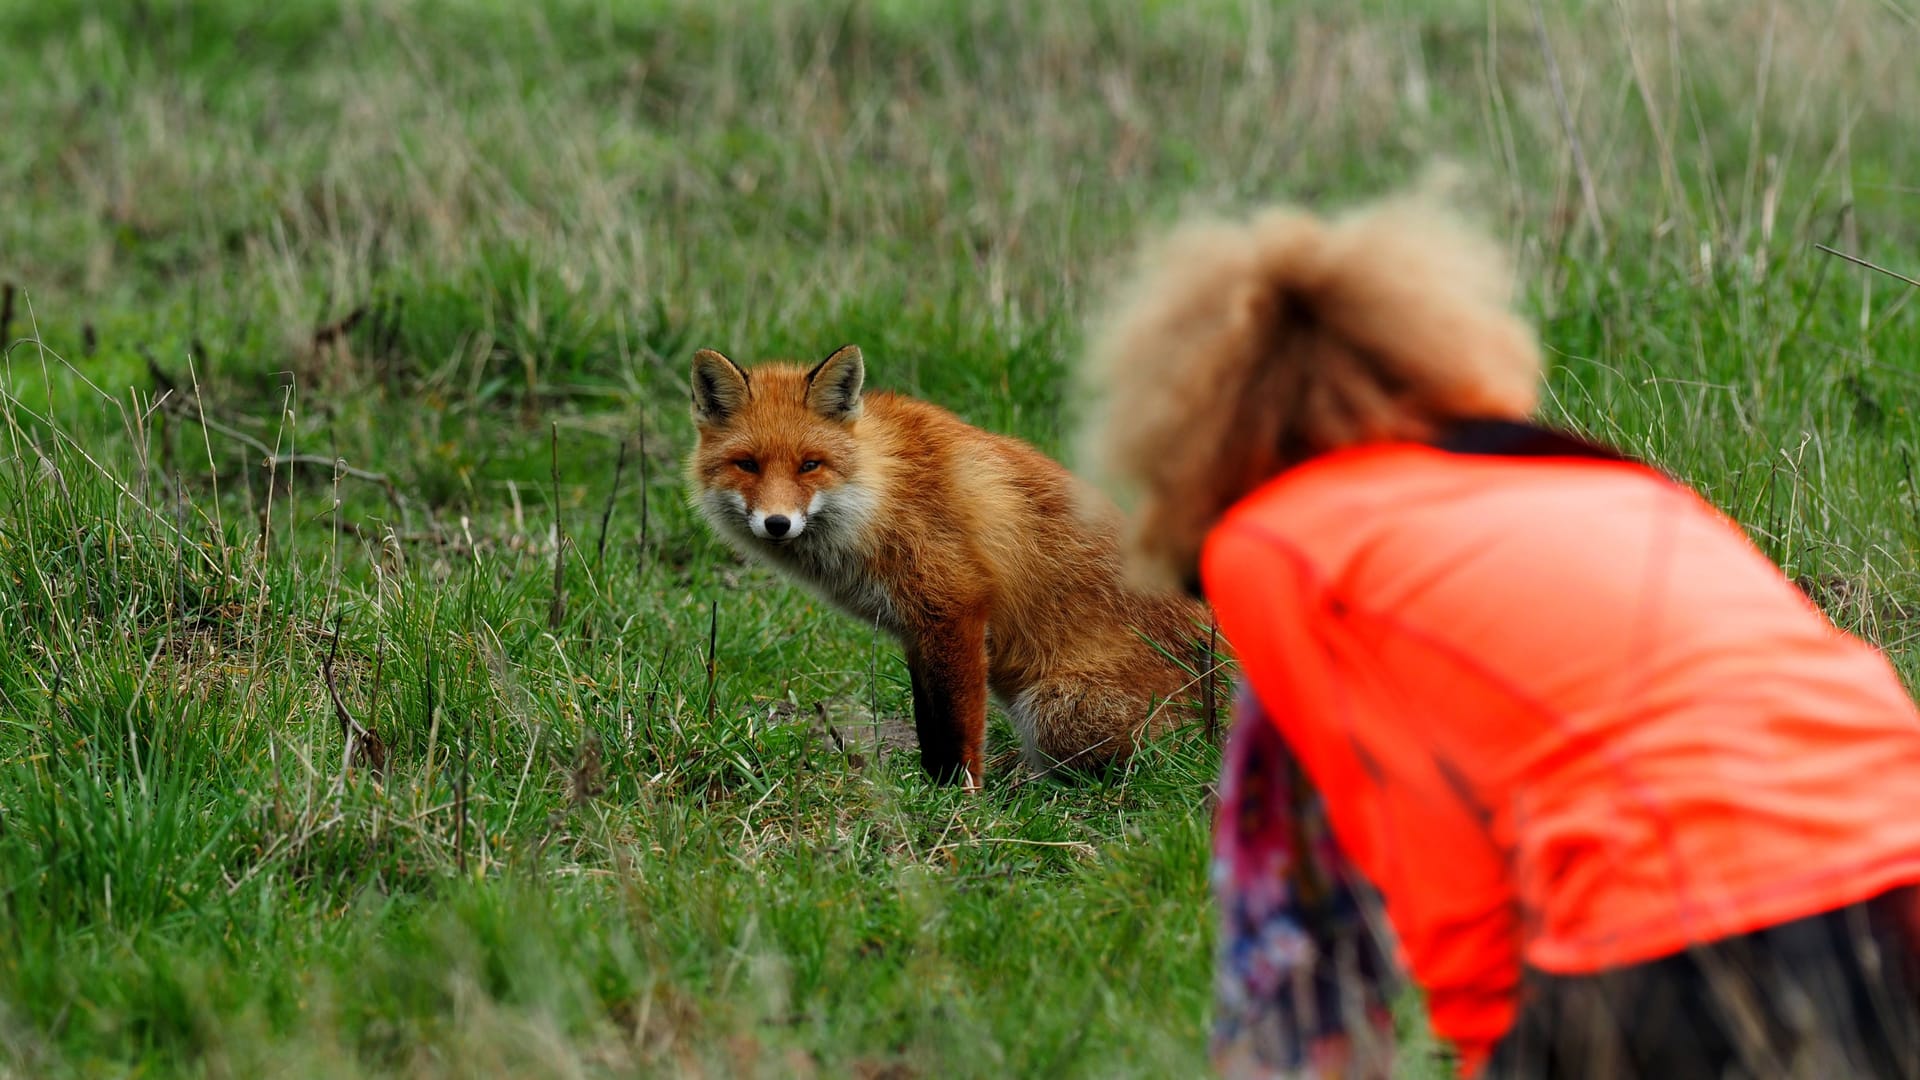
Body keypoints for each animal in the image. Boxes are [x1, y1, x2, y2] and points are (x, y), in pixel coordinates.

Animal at [683, 340, 1205, 787]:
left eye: (809, 465)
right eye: (747, 464)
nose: (777, 523)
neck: (880, 496)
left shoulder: (955, 608)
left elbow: (958, 728)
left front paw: (960, 798)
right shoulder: (915, 631)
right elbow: (929, 726)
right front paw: (932, 787)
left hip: (1056, 714)